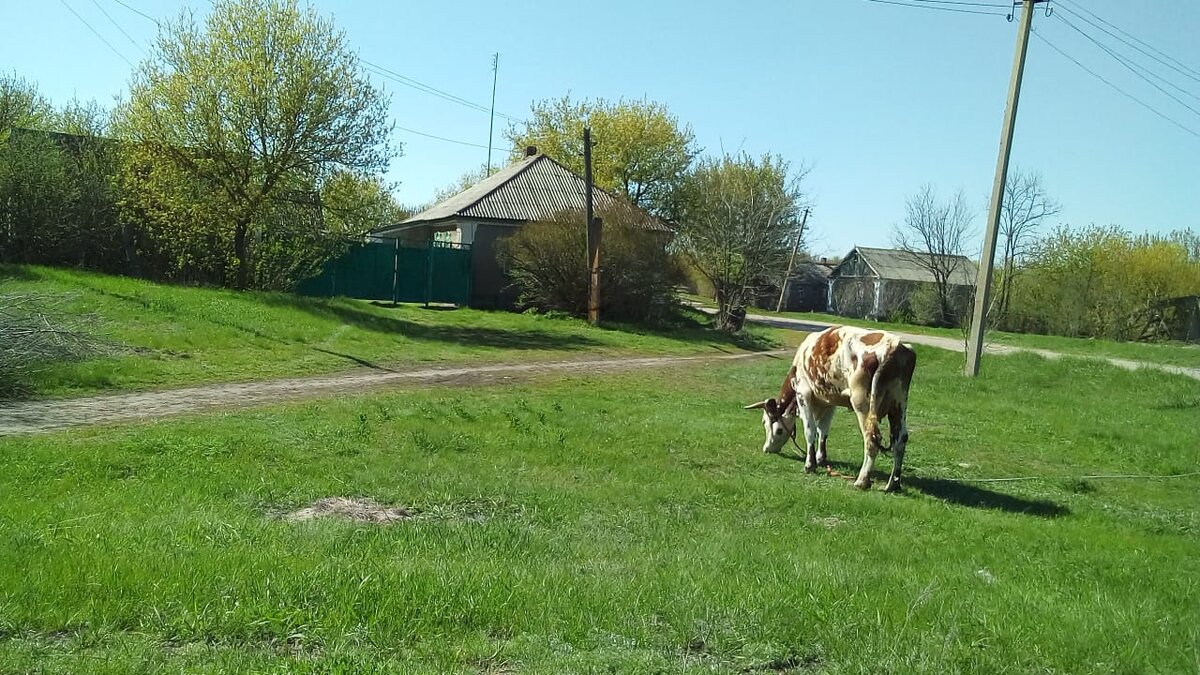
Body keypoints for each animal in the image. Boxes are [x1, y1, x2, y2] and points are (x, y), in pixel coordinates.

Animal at [739, 324, 916, 487]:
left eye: (773, 427)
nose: (767, 448)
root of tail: (893, 345)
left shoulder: (804, 393)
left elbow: (810, 430)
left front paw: (810, 464)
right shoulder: (830, 400)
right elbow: (823, 430)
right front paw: (821, 458)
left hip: (862, 403)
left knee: (872, 437)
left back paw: (862, 481)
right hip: (899, 404)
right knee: (901, 439)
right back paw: (893, 484)